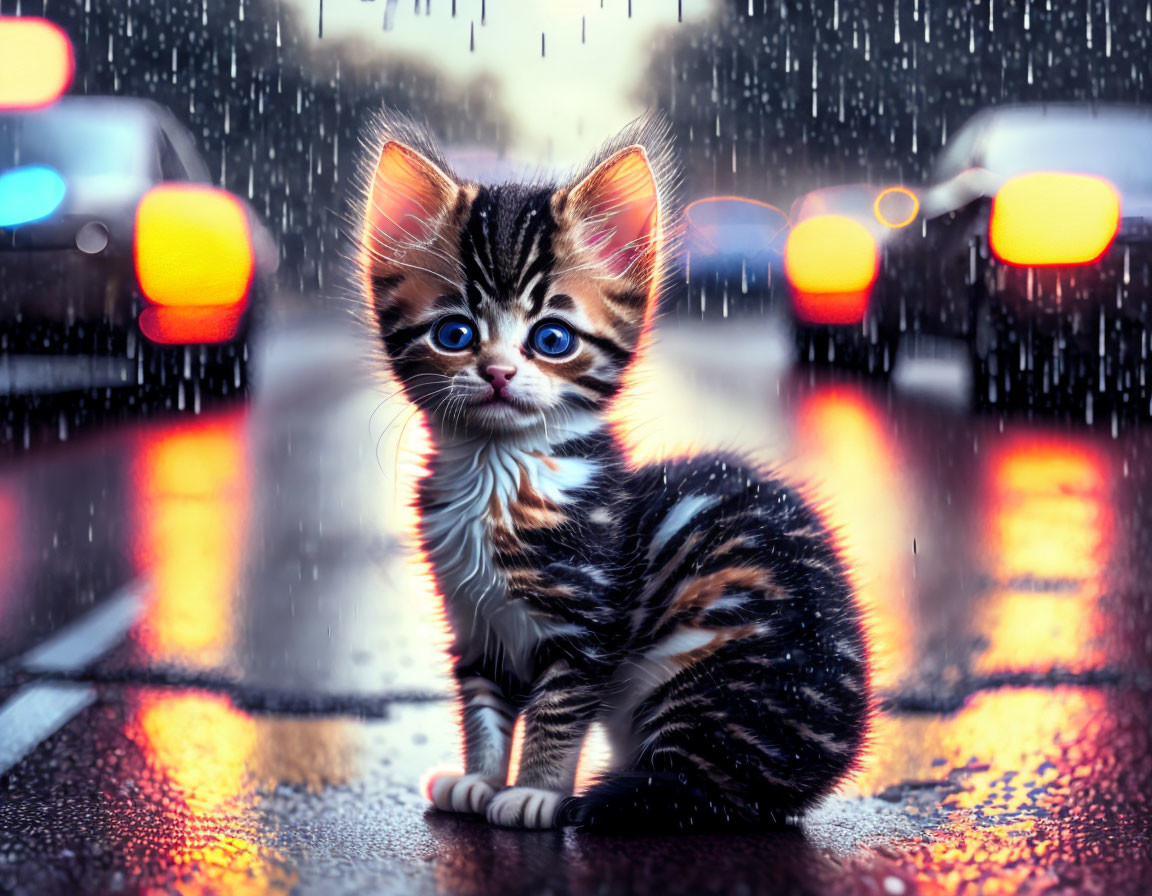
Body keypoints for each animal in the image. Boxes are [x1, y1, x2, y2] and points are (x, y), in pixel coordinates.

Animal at [354, 113, 866, 829]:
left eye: (552, 339)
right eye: (454, 334)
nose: (498, 373)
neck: (498, 474)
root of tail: (808, 775)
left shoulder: (589, 622)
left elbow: (557, 712)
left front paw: (537, 793)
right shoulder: (475, 624)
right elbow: (483, 706)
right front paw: (478, 780)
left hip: (701, 658)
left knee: (699, 789)